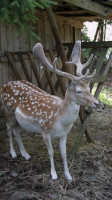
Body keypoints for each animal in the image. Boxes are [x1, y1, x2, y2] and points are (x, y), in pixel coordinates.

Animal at [0, 41, 98, 181]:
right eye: (79, 91)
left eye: (89, 89)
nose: (96, 102)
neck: (60, 119)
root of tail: (3, 86)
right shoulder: (45, 131)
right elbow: (51, 152)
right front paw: (54, 174)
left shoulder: (64, 134)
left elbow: (63, 154)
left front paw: (68, 175)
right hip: (8, 111)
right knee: (8, 127)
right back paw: (13, 153)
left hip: (17, 118)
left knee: (16, 131)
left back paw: (25, 154)